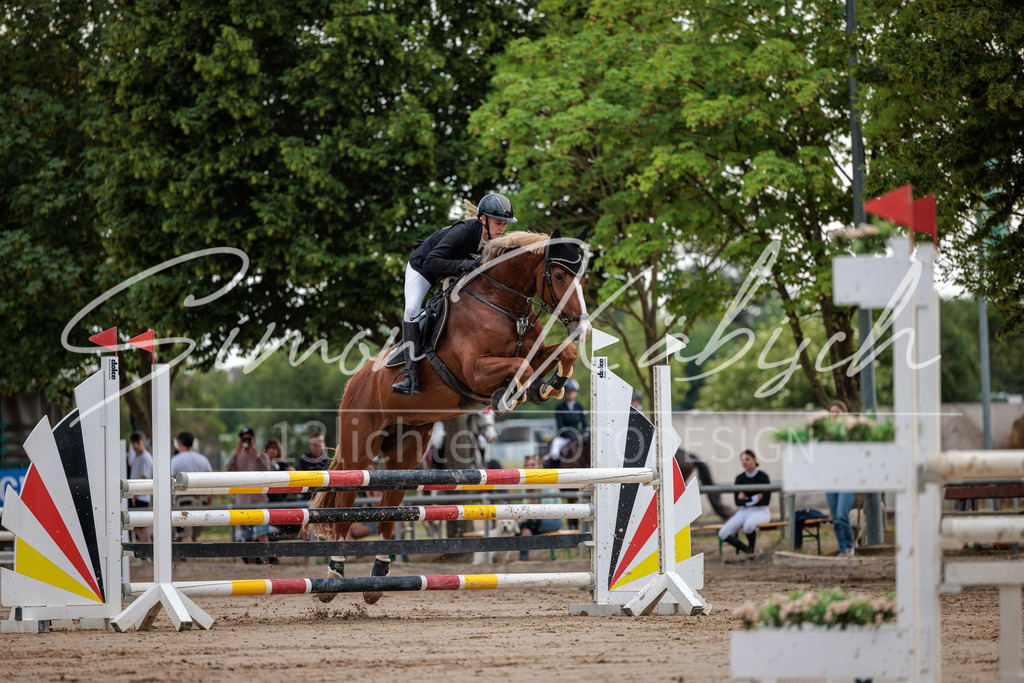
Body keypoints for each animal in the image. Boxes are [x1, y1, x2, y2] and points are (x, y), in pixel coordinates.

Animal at [310, 229, 591, 604]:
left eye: (583, 277)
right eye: (559, 275)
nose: (582, 328)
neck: (502, 304)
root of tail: (355, 381)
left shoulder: (534, 349)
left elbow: (561, 353)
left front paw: (548, 387)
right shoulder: (476, 370)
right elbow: (521, 365)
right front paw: (513, 394)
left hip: (407, 449)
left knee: (387, 513)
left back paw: (378, 577)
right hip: (360, 448)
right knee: (345, 504)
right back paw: (335, 574)